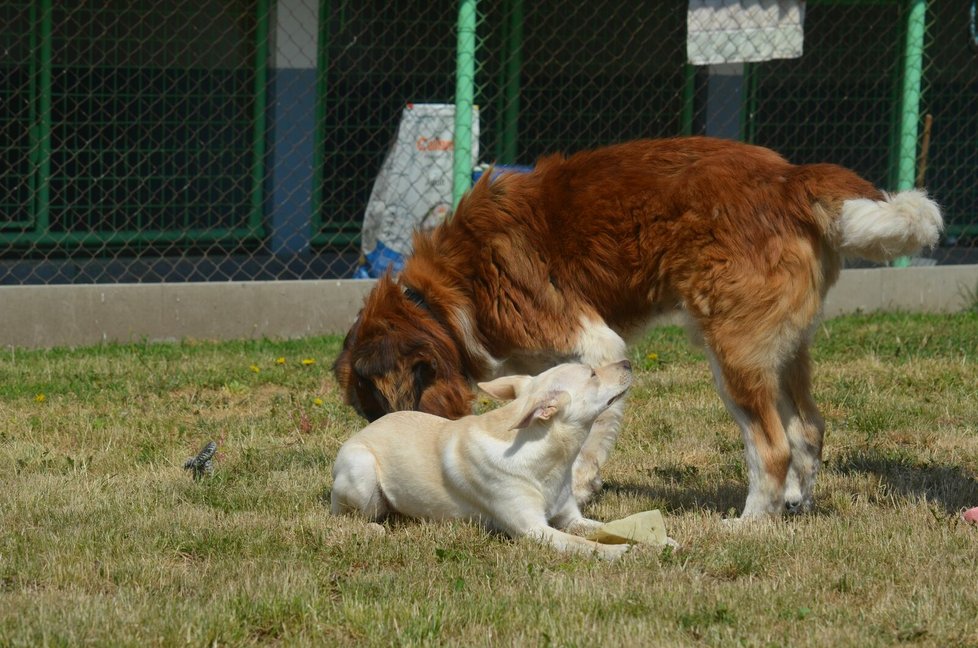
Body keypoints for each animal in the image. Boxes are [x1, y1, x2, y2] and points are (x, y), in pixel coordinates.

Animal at [328, 362, 632, 560]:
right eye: (592, 374)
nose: (628, 362)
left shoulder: (570, 519)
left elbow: (610, 526)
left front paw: (639, 537)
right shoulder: (534, 530)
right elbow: (582, 544)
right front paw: (620, 551)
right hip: (361, 471)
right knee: (348, 518)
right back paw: (374, 527)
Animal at [332, 135, 940, 516]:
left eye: (374, 412)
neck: (448, 293)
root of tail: (789, 177)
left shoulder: (598, 346)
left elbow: (588, 431)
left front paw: (577, 488)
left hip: (733, 352)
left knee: (772, 447)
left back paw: (749, 525)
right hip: (783, 350)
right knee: (808, 429)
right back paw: (795, 506)